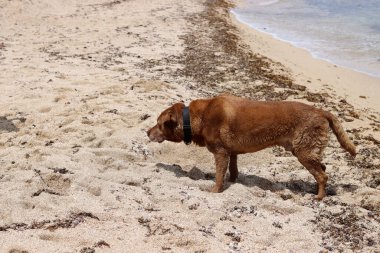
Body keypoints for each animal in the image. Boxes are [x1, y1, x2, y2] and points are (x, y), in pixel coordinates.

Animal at [147, 94, 354, 200]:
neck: (197, 118)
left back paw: (319, 196)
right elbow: (233, 170)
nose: (147, 132)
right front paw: (233, 182)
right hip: (308, 151)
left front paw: (216, 190)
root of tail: (321, 111)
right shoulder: (232, 153)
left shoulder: (221, 152)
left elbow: (219, 174)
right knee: (322, 169)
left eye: (158, 124)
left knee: (323, 175)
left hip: (304, 151)